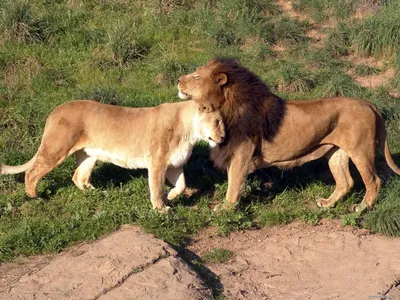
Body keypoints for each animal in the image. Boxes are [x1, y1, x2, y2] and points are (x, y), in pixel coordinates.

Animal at [0, 99, 225, 210]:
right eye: (217, 122)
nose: (223, 137)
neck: (190, 132)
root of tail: (54, 111)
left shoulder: (174, 164)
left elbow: (182, 185)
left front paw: (170, 196)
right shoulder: (157, 162)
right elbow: (156, 187)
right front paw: (161, 208)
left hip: (89, 154)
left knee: (78, 177)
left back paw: (99, 193)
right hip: (57, 148)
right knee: (32, 173)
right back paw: (35, 198)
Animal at [178, 58, 400, 212]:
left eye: (197, 76)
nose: (178, 79)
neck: (223, 108)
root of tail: (368, 104)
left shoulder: (241, 155)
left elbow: (233, 184)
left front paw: (225, 208)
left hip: (361, 151)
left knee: (374, 181)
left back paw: (361, 208)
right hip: (337, 152)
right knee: (346, 182)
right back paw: (327, 203)